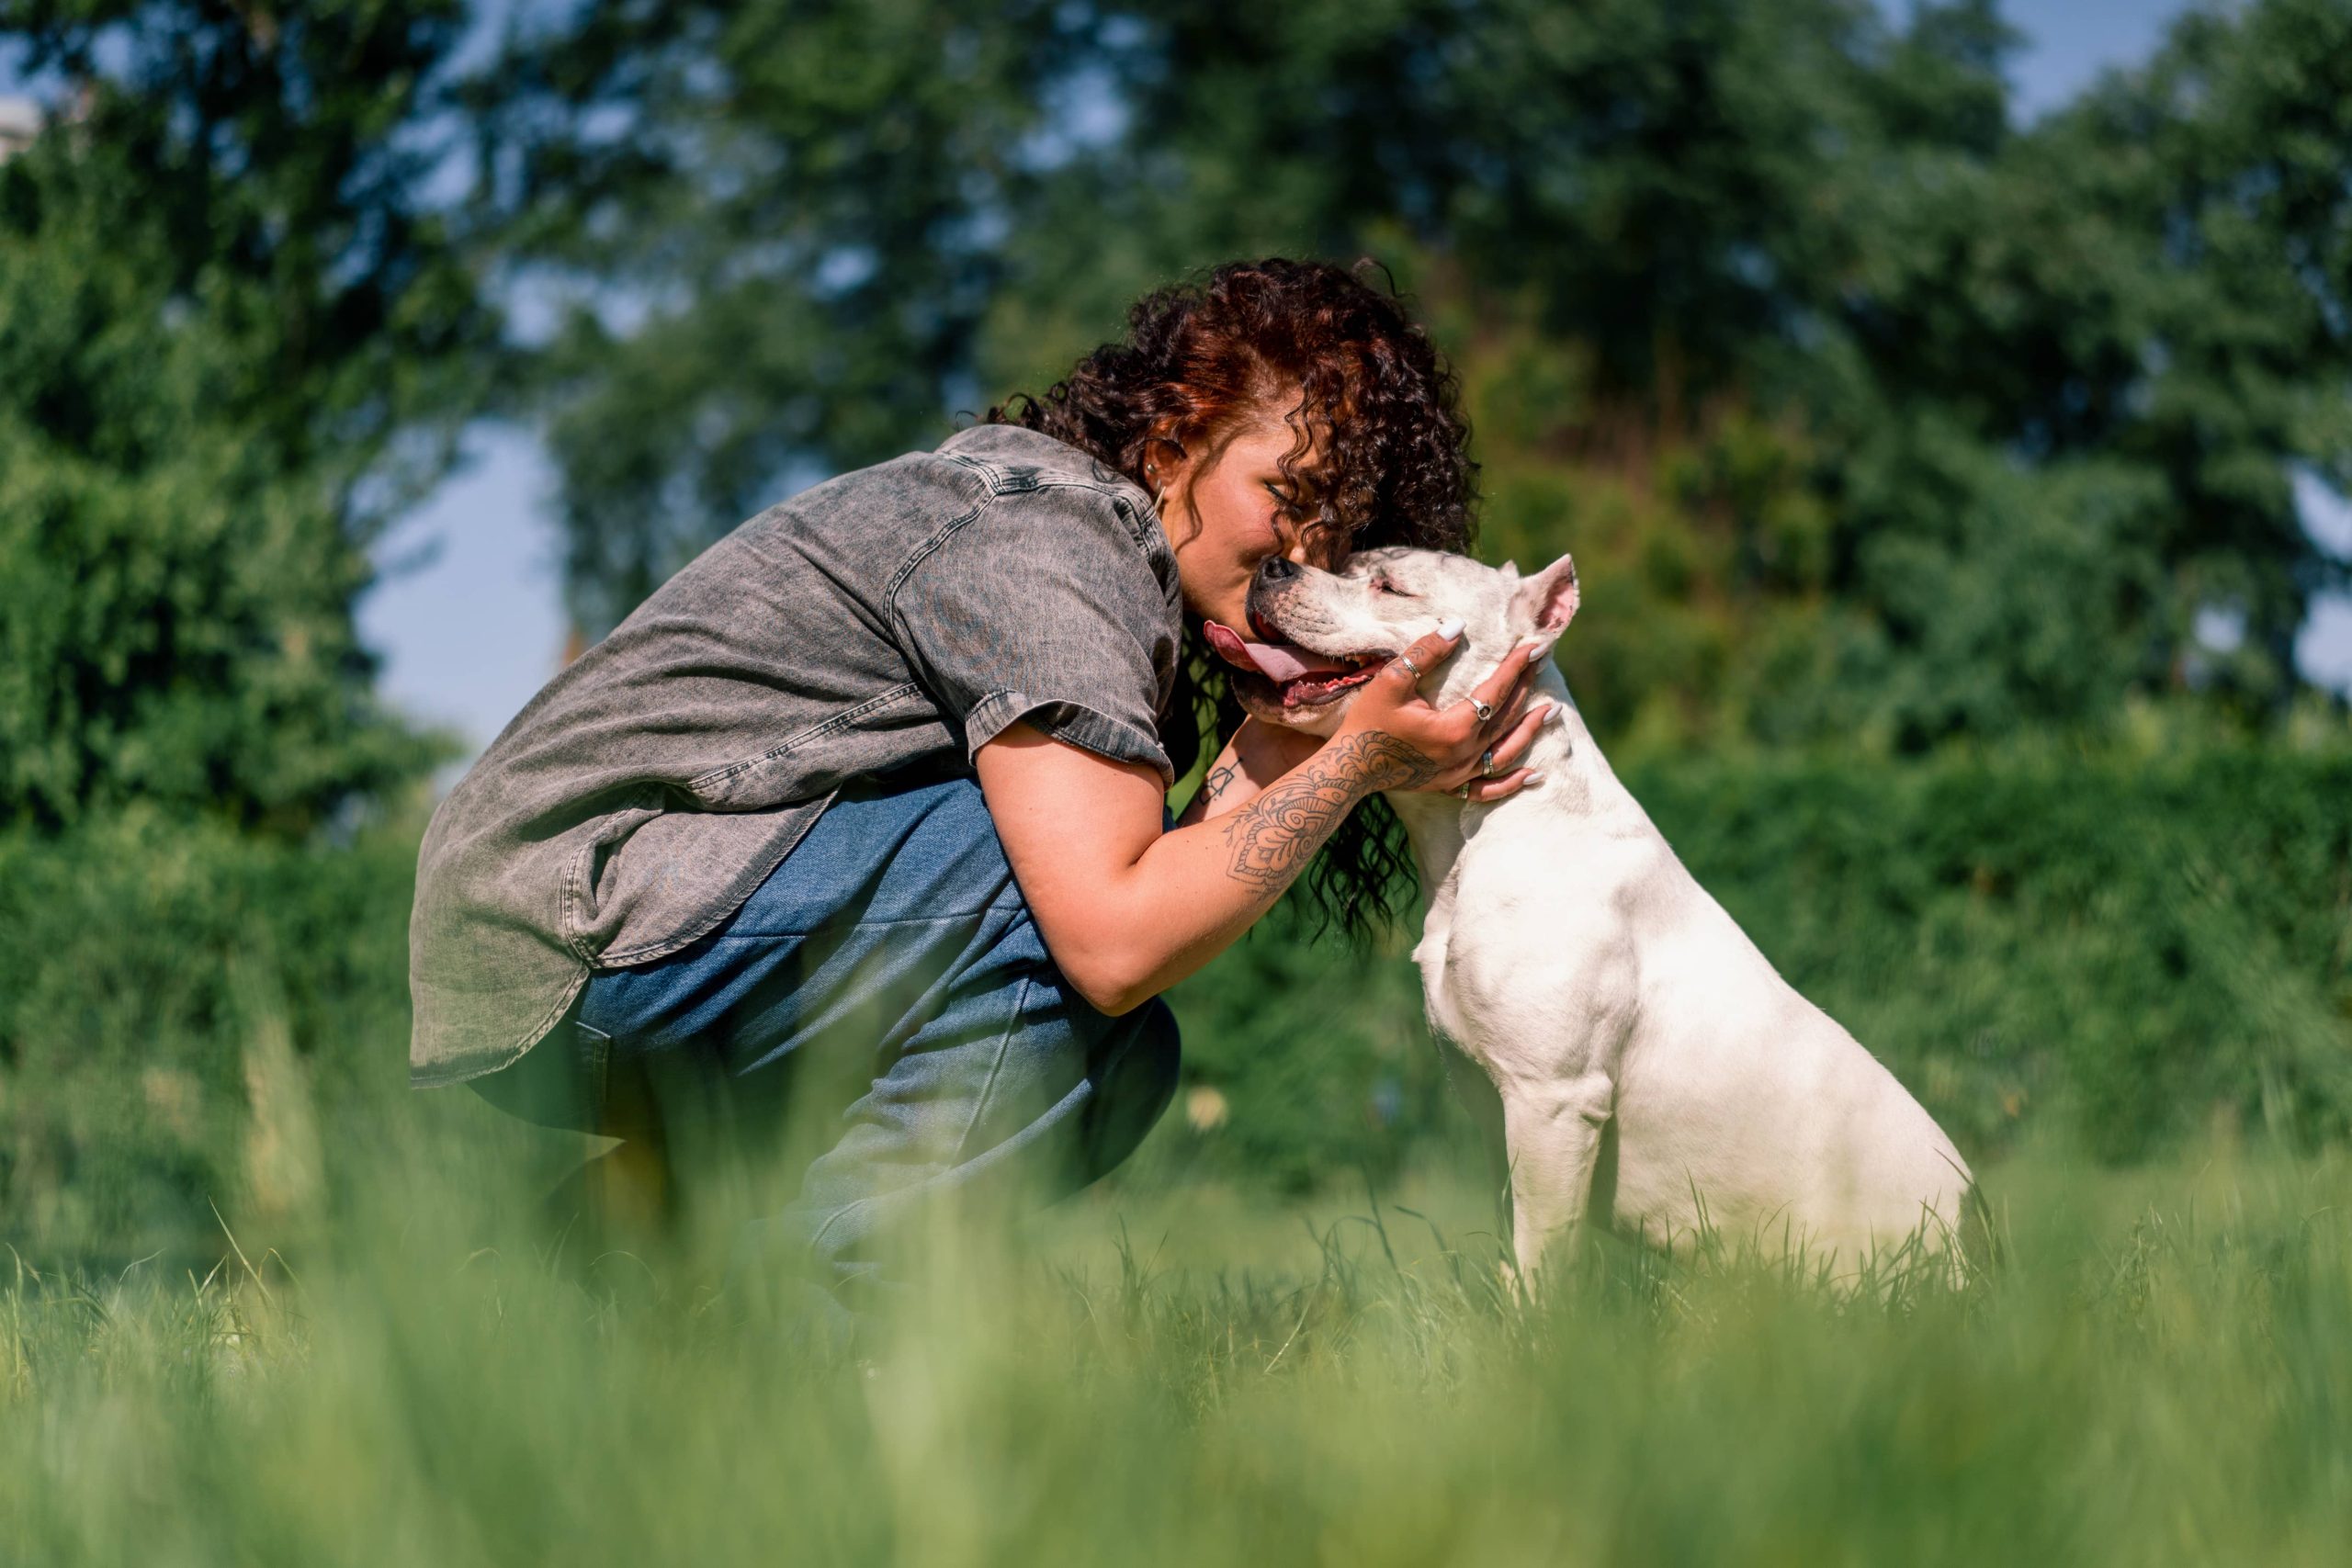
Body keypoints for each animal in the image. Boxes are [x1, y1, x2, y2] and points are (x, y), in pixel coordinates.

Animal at [1223, 552, 1975, 1288]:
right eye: (1347, 562)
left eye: (1389, 585)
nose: (1271, 565)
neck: (1488, 824)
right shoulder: (1500, 1110)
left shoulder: (1553, 1101)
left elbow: (1542, 1260)